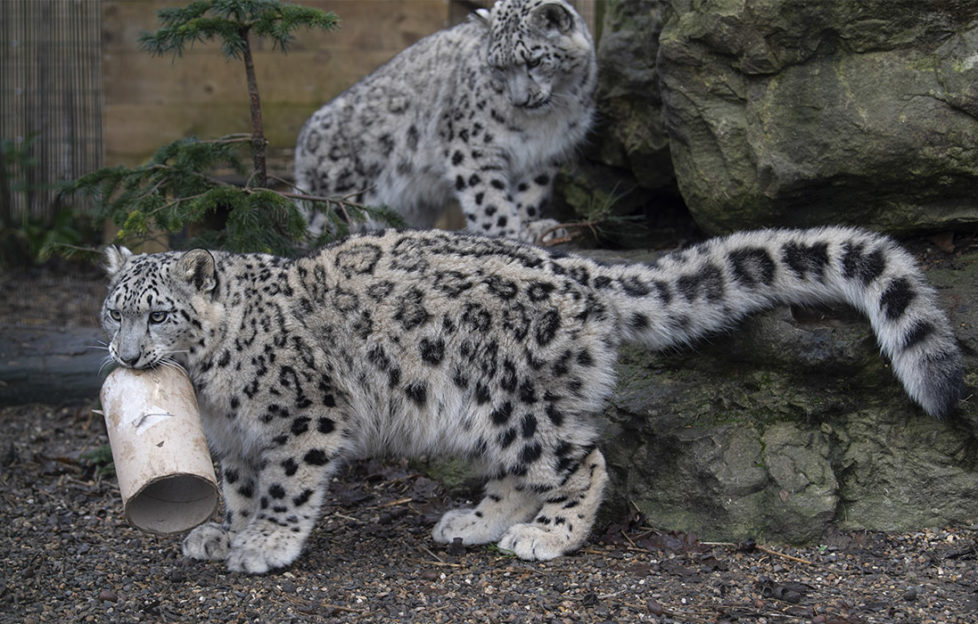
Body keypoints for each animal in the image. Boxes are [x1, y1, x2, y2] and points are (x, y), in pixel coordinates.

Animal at [101, 227, 960, 572]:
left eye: (161, 314)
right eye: (115, 310)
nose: (126, 355)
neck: (213, 393)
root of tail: (579, 270)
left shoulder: (304, 416)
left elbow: (285, 487)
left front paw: (267, 544)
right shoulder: (237, 440)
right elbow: (244, 488)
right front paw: (225, 533)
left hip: (514, 401)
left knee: (584, 458)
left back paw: (547, 536)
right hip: (482, 411)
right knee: (519, 469)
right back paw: (473, 522)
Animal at [290, 0, 596, 244]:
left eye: (534, 61)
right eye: (498, 66)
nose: (519, 100)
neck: (546, 119)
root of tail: (303, 139)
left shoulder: (547, 154)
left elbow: (530, 193)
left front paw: (532, 226)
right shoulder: (473, 145)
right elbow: (488, 198)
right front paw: (505, 233)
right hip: (342, 198)